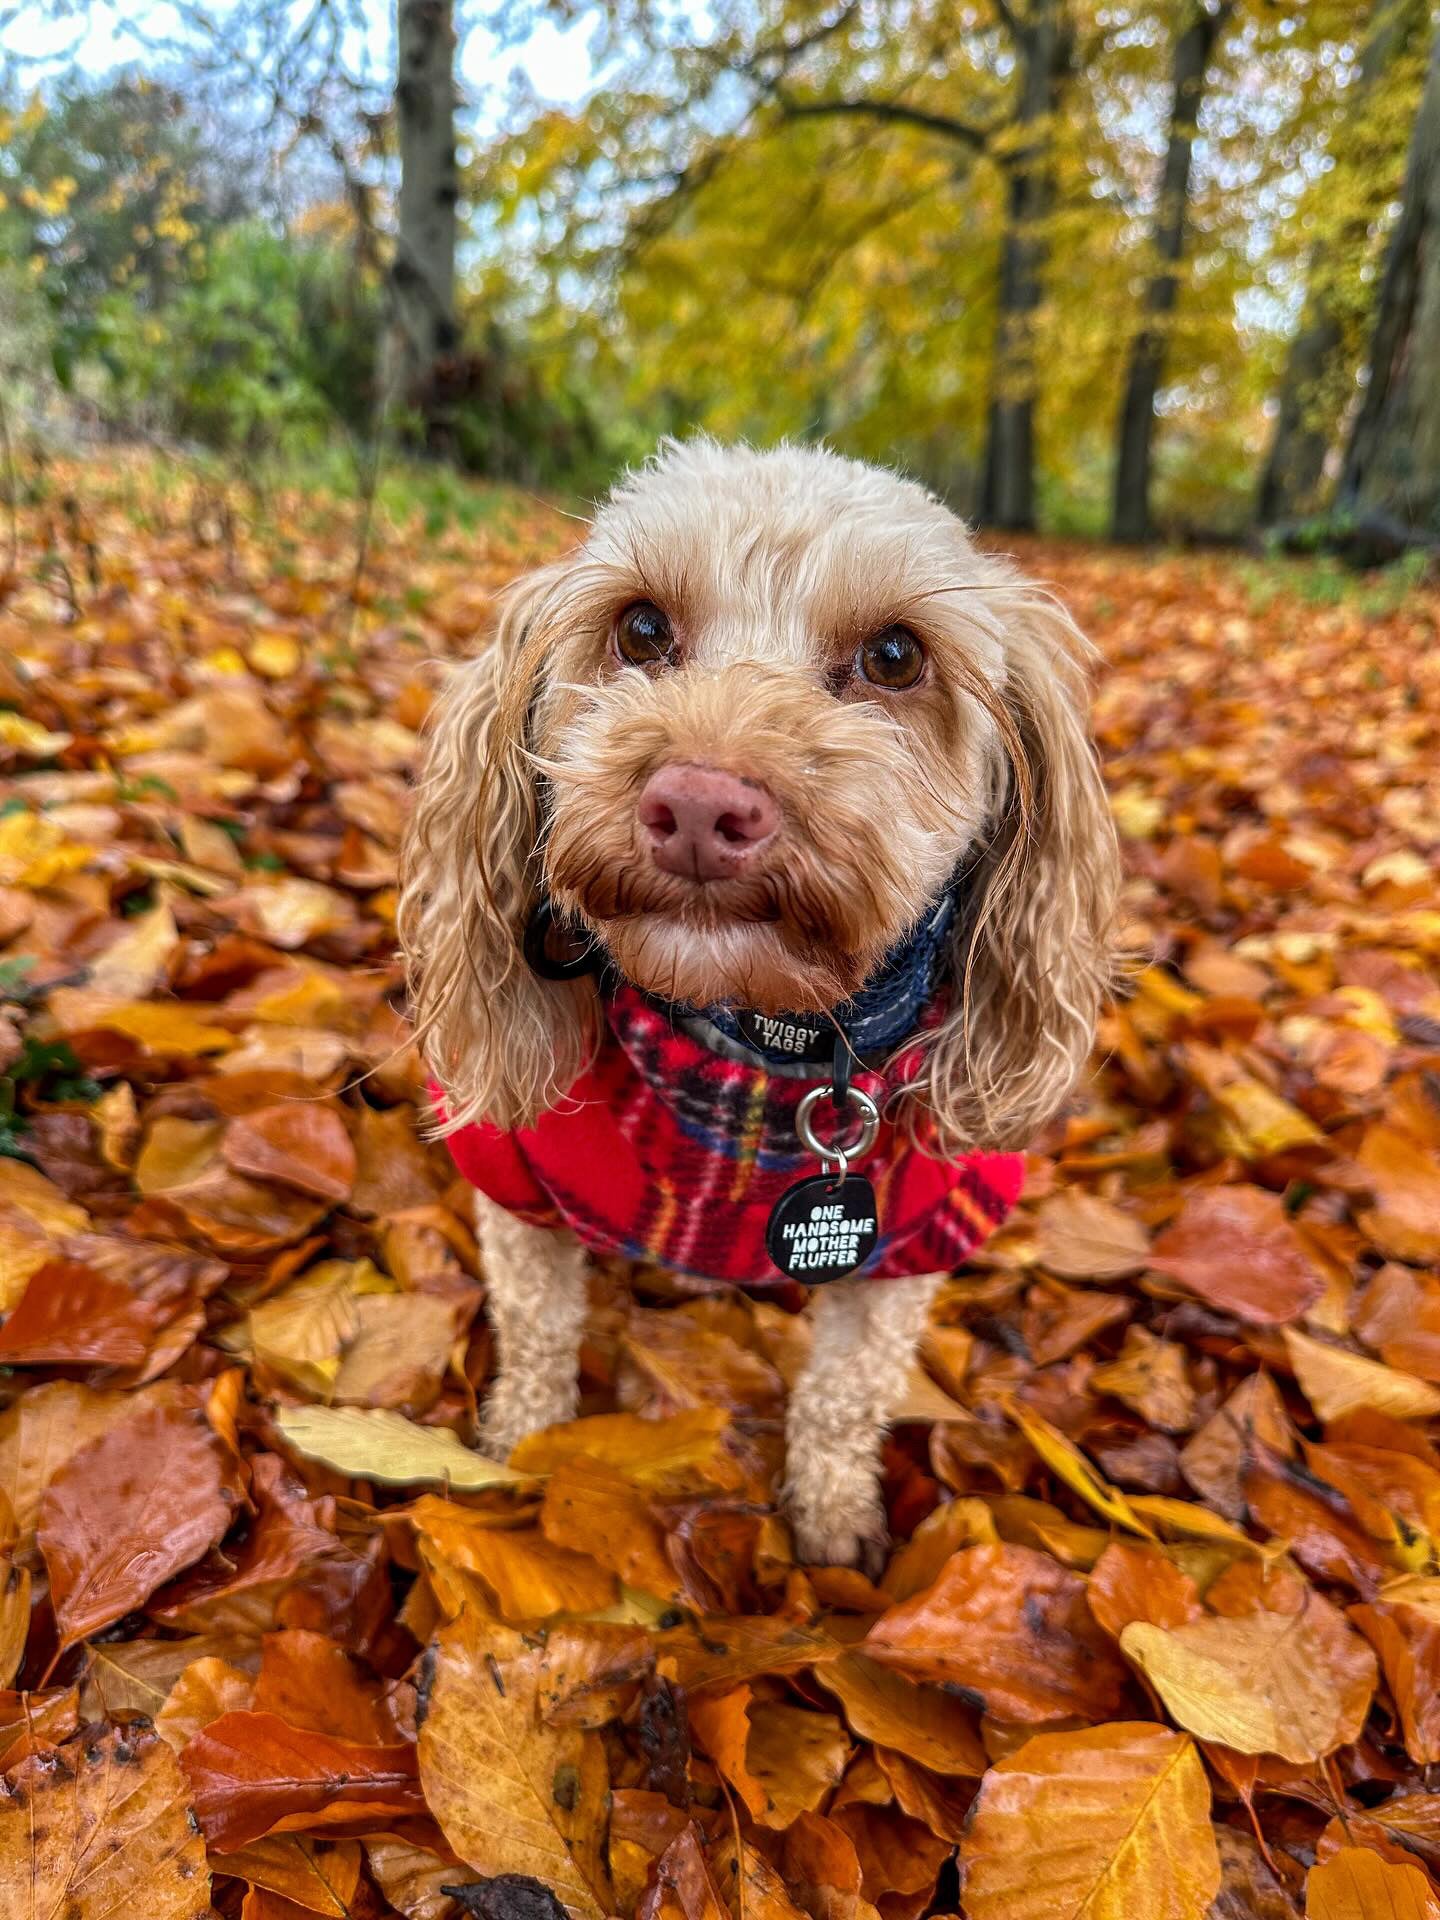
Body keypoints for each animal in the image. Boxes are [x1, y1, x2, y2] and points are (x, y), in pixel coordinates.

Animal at [401, 441, 1121, 1566]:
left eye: (896, 656)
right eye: (641, 628)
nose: (700, 804)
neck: (754, 1050)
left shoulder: (914, 1236)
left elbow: (847, 1390)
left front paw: (832, 1523)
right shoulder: (513, 1176)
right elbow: (538, 1325)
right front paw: (518, 1448)